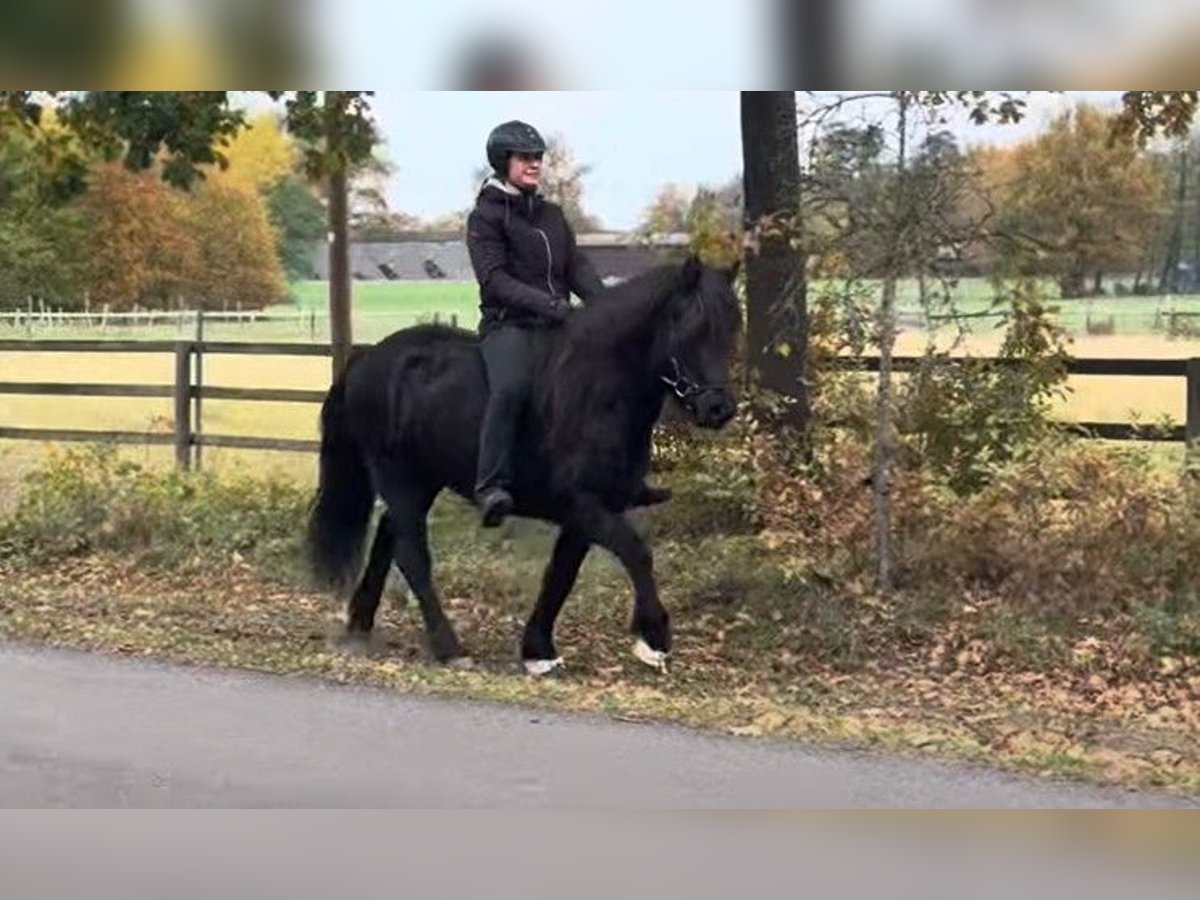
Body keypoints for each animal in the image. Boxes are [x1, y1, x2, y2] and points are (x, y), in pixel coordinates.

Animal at [305, 253, 741, 675]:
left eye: (732, 329)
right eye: (694, 328)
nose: (718, 409)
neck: (598, 391)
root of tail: (367, 359)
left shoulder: (587, 512)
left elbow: (561, 575)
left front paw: (538, 650)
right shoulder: (584, 504)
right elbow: (636, 553)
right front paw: (653, 637)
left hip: (422, 481)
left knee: (387, 539)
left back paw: (360, 625)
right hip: (399, 478)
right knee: (412, 555)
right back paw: (448, 647)